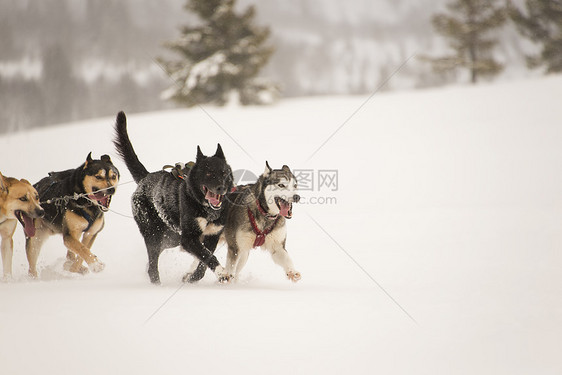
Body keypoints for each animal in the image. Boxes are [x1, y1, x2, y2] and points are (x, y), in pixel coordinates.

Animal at [114, 111, 232, 284]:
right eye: (209, 173)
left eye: (224, 173)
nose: (221, 188)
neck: (205, 209)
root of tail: (146, 177)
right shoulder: (188, 239)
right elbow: (208, 256)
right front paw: (222, 273)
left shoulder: (211, 236)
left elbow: (204, 262)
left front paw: (193, 278)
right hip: (154, 235)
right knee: (152, 266)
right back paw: (157, 284)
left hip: (172, 238)